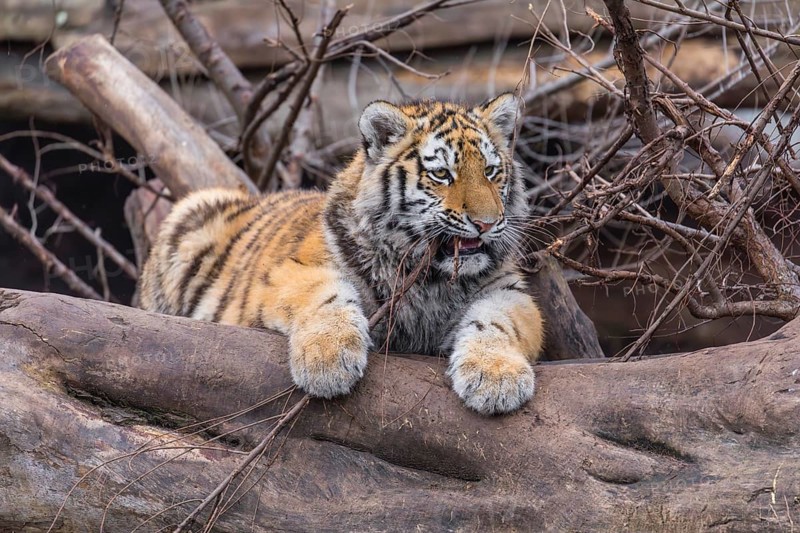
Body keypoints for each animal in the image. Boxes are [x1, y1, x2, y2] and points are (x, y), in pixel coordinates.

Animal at [139, 93, 544, 415]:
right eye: (442, 174)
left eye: (490, 171)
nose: (487, 224)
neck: (429, 276)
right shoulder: (292, 271)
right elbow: (326, 295)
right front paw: (327, 361)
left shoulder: (509, 291)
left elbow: (497, 321)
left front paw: (497, 378)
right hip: (191, 212)